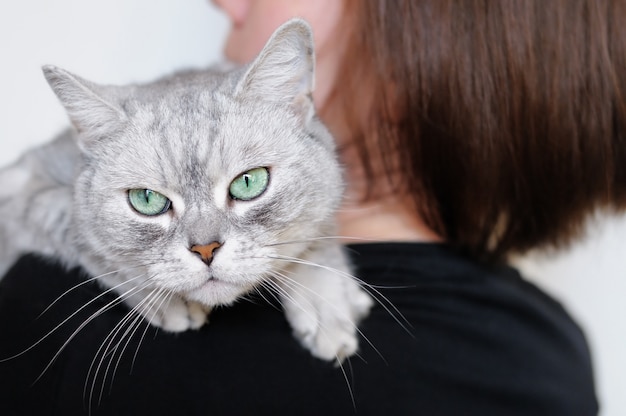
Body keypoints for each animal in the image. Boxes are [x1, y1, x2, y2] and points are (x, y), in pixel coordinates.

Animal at [0, 19, 370, 362]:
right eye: (147, 199)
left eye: (248, 182)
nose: (206, 250)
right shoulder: (24, 193)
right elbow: (93, 245)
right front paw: (167, 297)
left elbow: (315, 236)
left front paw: (328, 300)